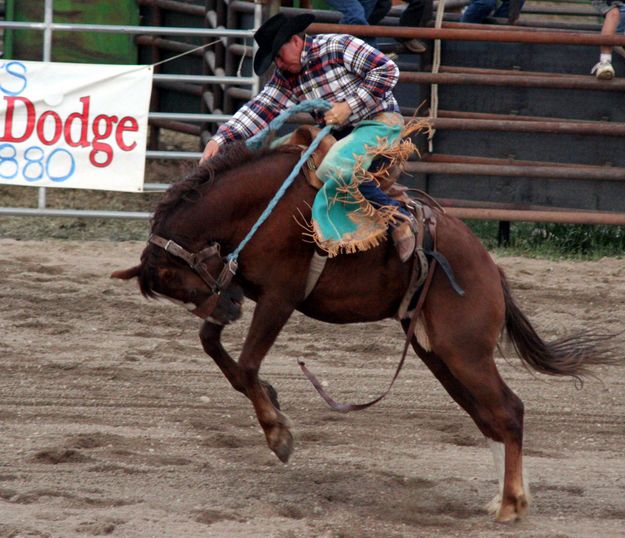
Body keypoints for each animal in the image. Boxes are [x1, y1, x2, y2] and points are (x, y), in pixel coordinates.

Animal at [112, 140, 608, 520]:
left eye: (180, 279)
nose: (227, 308)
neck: (262, 207)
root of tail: (489, 266)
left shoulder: (279, 298)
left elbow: (248, 364)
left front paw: (279, 434)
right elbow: (218, 352)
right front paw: (273, 400)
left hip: (464, 350)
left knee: (509, 409)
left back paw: (510, 505)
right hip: (438, 353)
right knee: (486, 415)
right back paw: (506, 498)